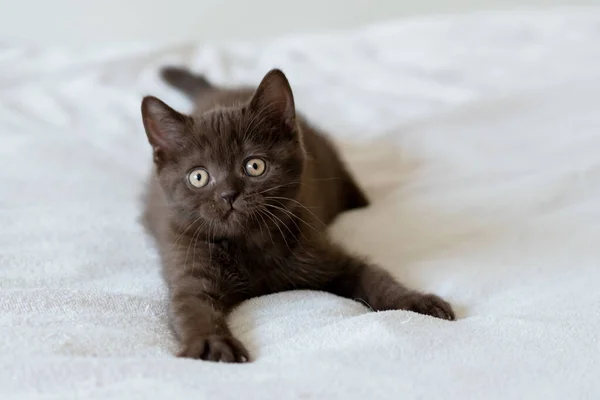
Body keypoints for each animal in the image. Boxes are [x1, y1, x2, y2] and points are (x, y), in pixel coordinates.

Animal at [138, 66, 452, 362]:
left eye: (254, 166)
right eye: (199, 177)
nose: (228, 195)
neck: (249, 246)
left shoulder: (321, 250)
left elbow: (373, 276)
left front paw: (416, 302)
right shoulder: (188, 259)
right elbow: (191, 307)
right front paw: (210, 344)